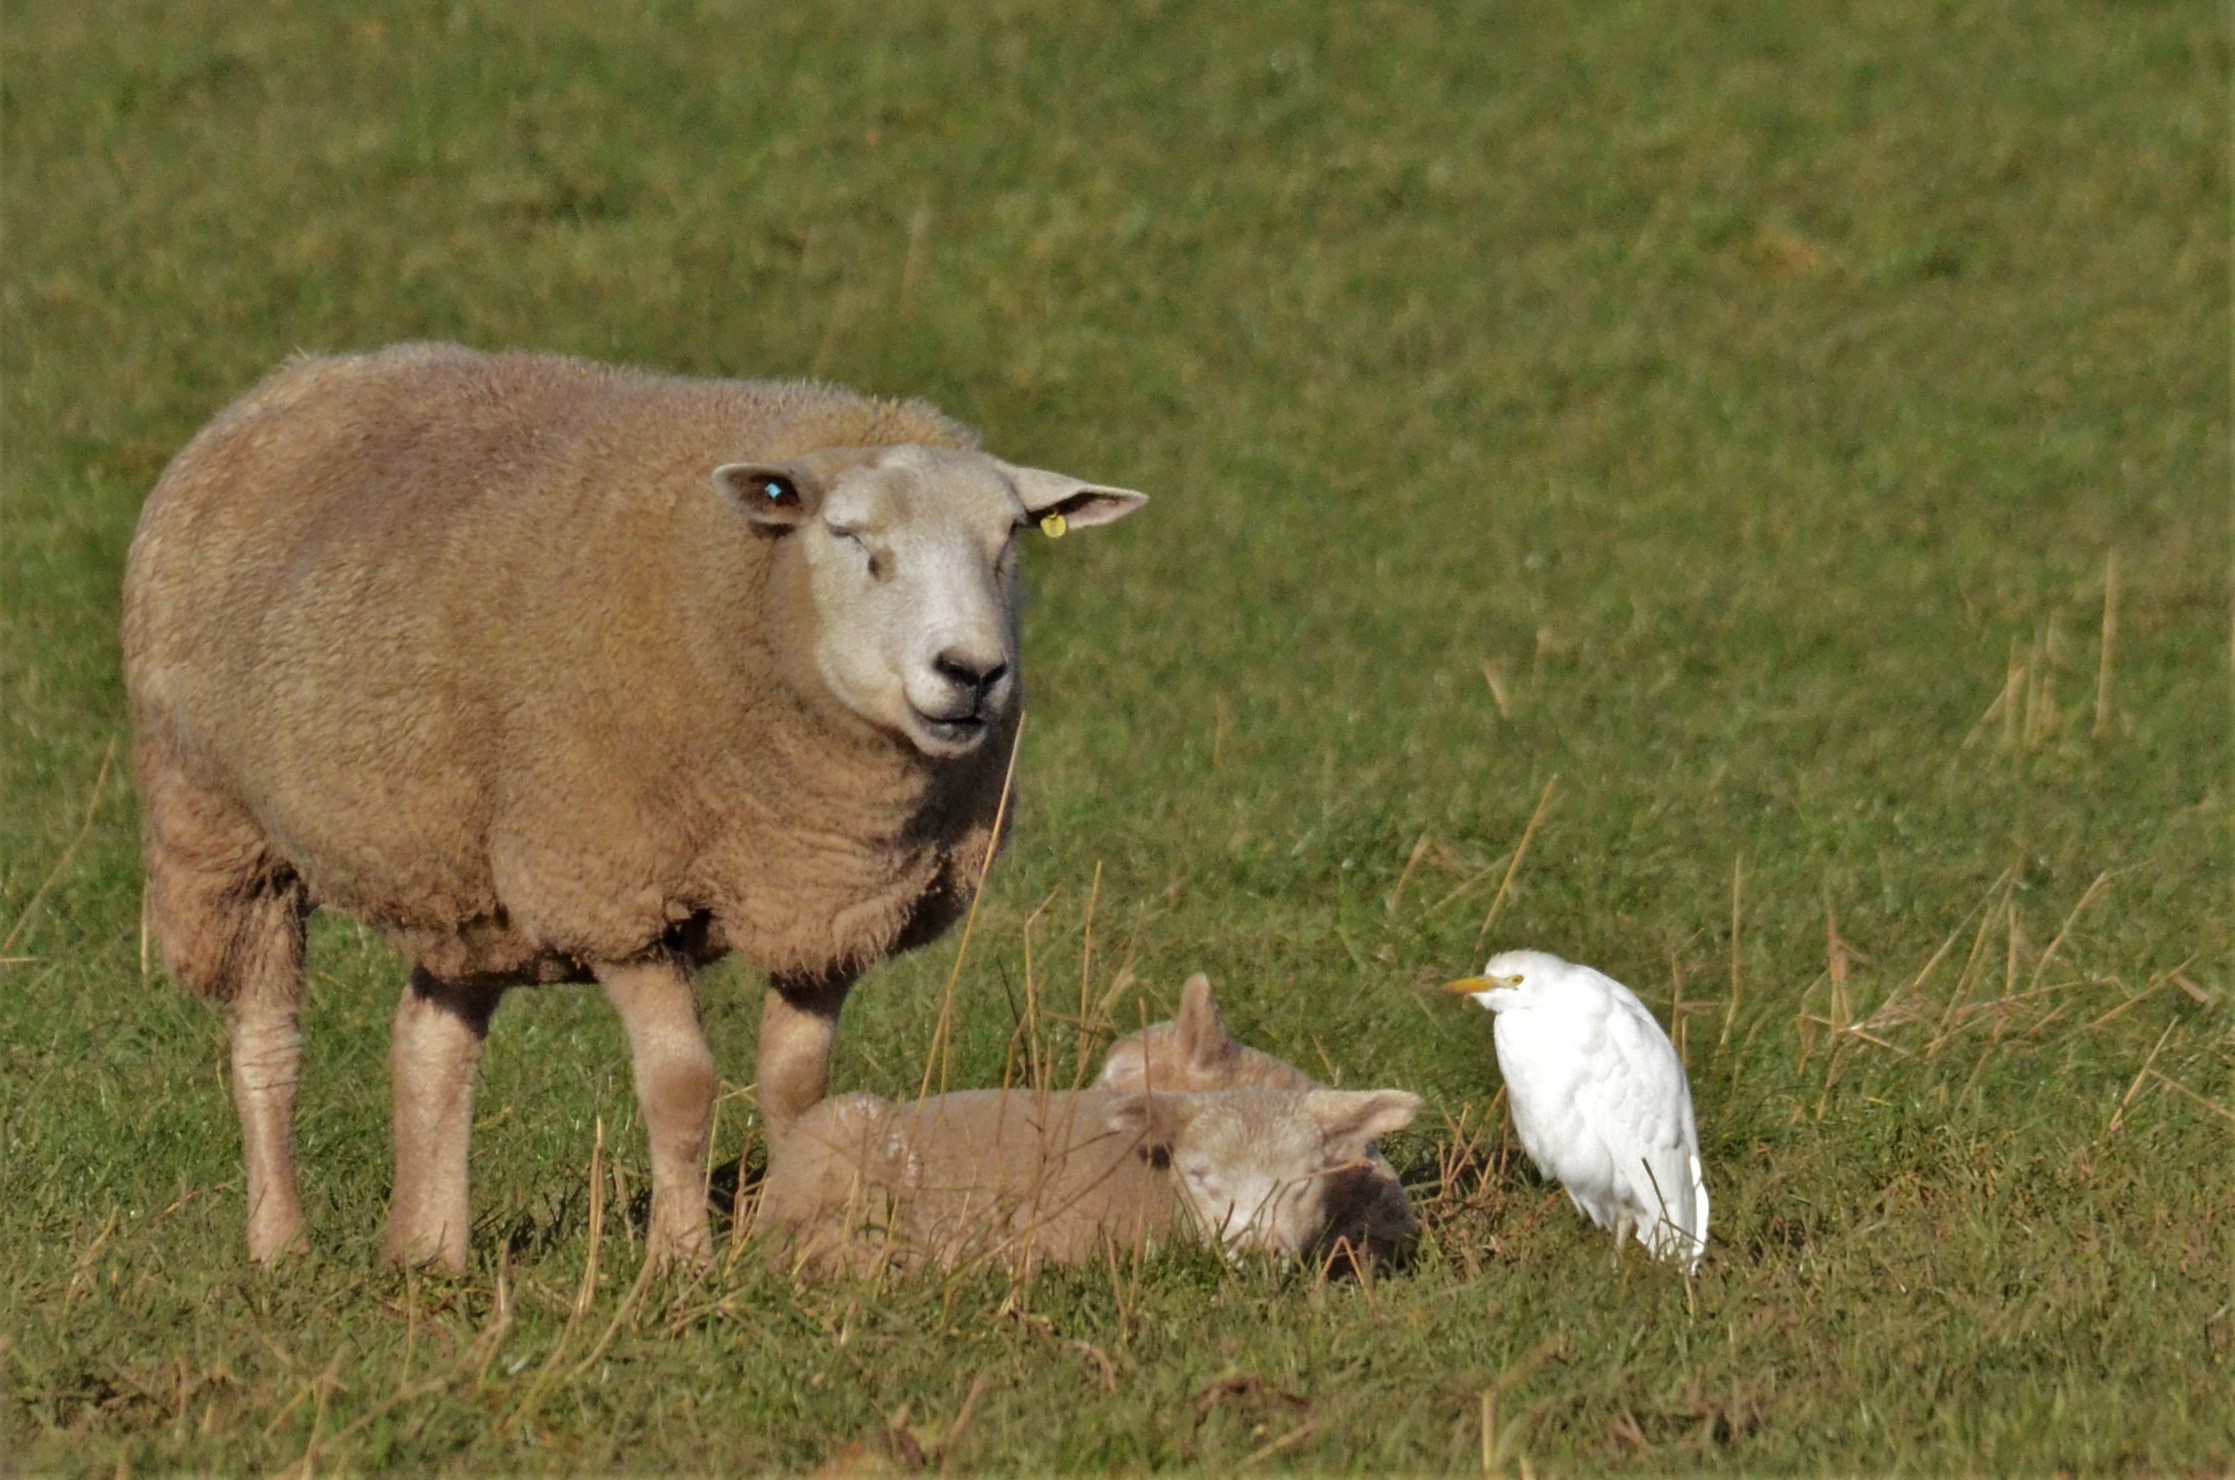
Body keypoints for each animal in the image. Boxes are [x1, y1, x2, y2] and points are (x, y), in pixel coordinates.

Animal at [121, 342, 1146, 1270]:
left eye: (1010, 538)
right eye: (853, 539)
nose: (970, 673)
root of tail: (294, 378)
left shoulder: (825, 910)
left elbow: (798, 1087)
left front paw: (790, 1241)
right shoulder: (616, 893)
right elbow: (684, 1087)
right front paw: (680, 1261)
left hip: (467, 865)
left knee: (429, 1039)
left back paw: (430, 1253)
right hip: (219, 825)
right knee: (267, 1045)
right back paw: (280, 1245)